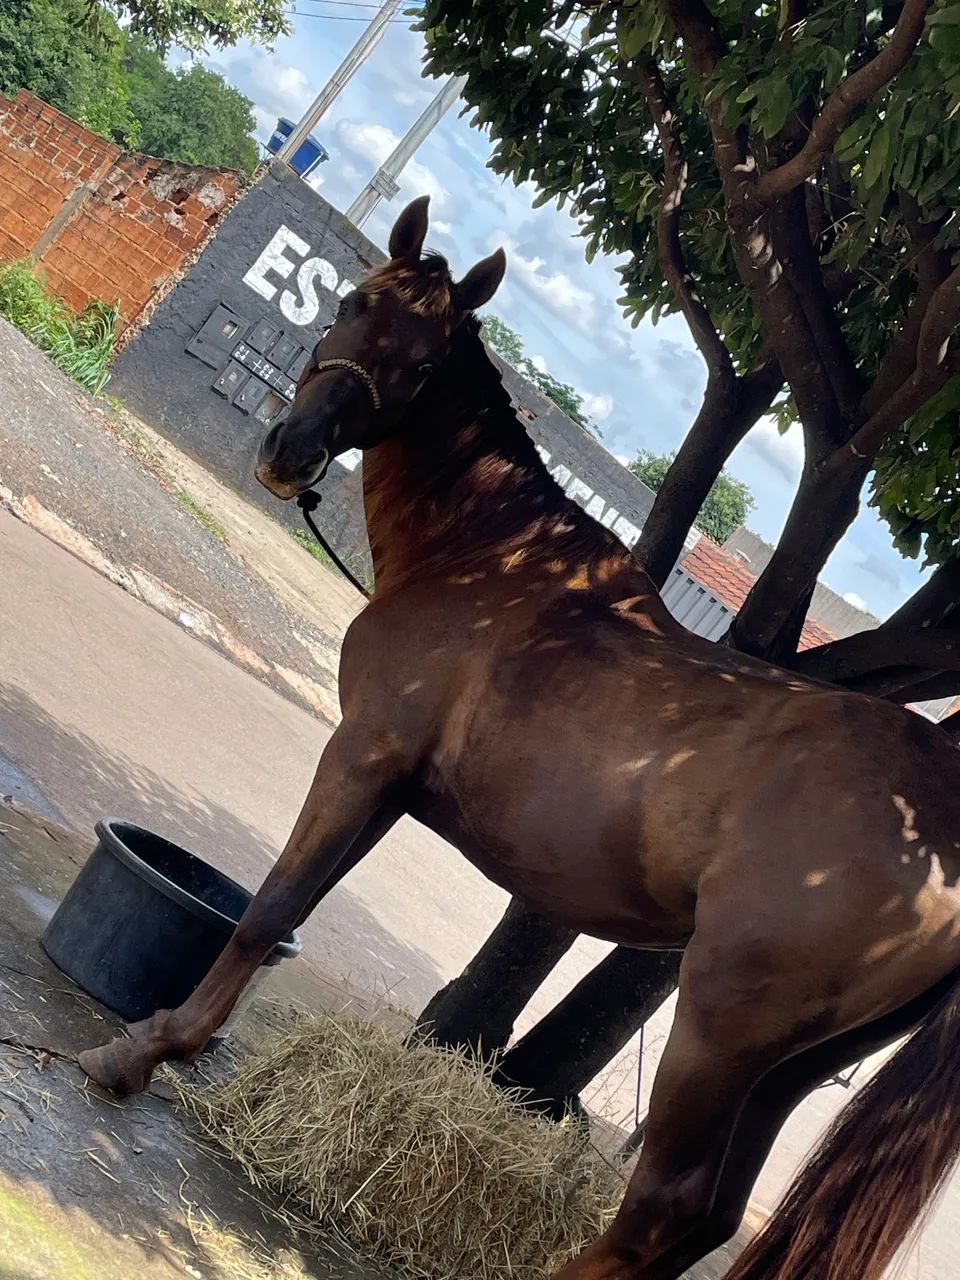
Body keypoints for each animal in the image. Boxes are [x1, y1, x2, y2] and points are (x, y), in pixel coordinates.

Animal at [79, 197, 960, 1280]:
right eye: (352, 302)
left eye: (425, 365)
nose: (291, 451)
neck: (493, 562)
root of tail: (937, 819)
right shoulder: (389, 787)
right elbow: (287, 909)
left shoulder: (358, 754)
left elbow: (267, 909)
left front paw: (144, 1049)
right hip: (794, 1066)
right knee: (707, 1219)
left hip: (722, 1032)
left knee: (665, 1205)